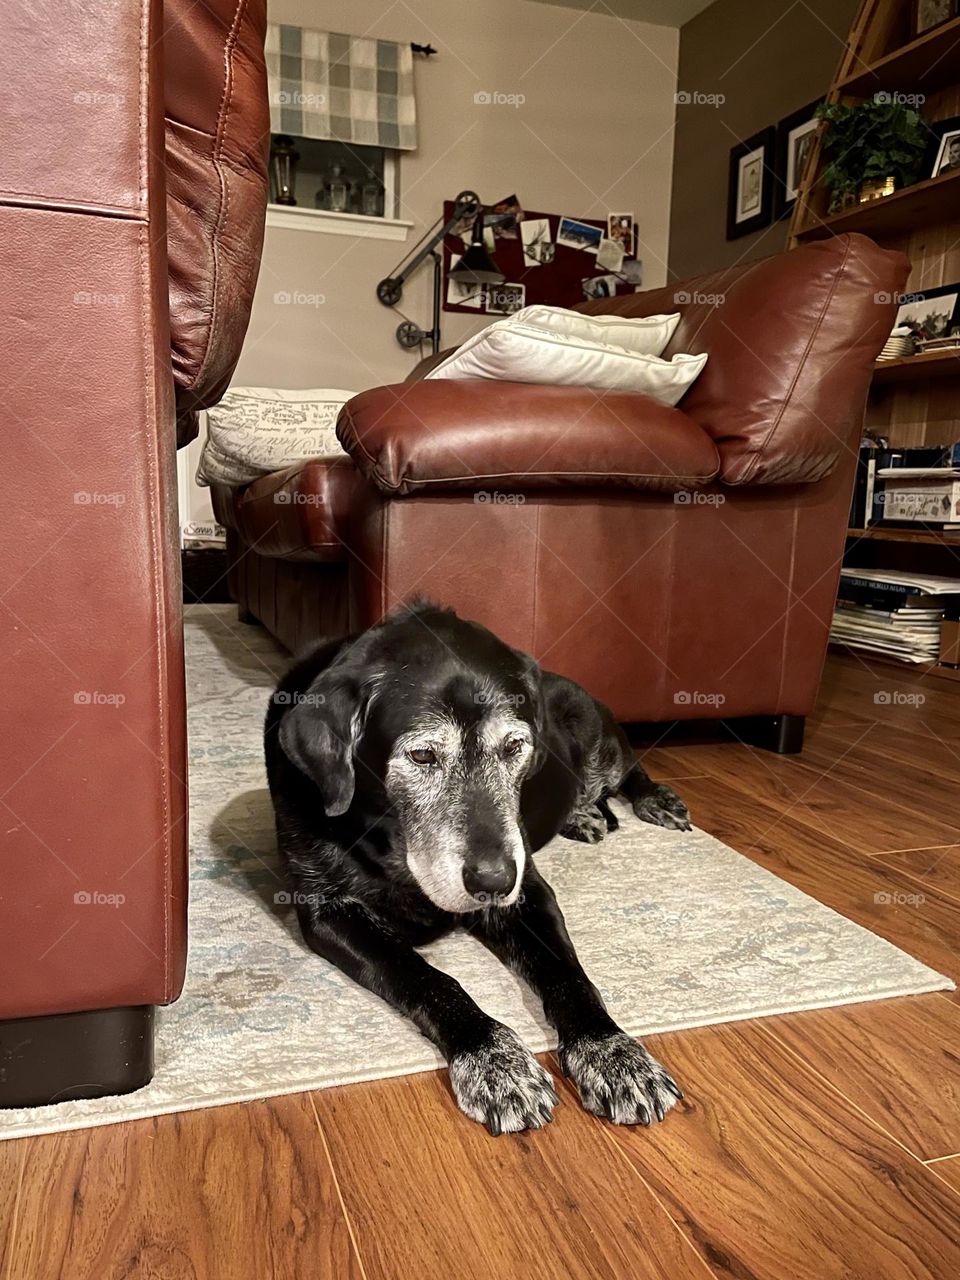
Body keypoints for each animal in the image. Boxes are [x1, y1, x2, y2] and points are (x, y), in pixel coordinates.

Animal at [267, 604, 691, 1136]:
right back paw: (585, 815)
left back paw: (653, 800)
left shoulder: (528, 893)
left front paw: (612, 1052)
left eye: (515, 747)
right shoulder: (327, 911)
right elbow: (429, 978)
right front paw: (496, 1060)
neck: (392, 847)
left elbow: (569, 974)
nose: (493, 881)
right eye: (421, 755)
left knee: (630, 768)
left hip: (602, 743)